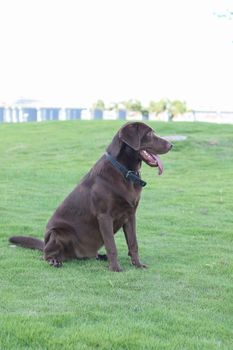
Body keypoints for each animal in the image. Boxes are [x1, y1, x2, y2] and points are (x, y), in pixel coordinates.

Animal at [9, 121, 172, 272]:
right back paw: (54, 260)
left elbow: (133, 243)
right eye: (149, 134)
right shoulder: (105, 216)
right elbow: (111, 245)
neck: (124, 172)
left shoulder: (130, 215)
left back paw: (100, 256)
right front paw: (115, 268)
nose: (171, 145)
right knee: (46, 254)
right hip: (58, 233)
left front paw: (137, 264)